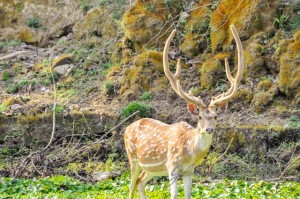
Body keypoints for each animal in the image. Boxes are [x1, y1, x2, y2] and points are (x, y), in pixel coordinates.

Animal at [124, 25, 244, 199]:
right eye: (199, 117)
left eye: (215, 116)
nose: (209, 129)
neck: (190, 152)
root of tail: (126, 128)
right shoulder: (172, 167)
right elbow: (174, 195)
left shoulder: (190, 170)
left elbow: (188, 195)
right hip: (132, 156)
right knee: (131, 185)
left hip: (152, 169)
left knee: (140, 182)